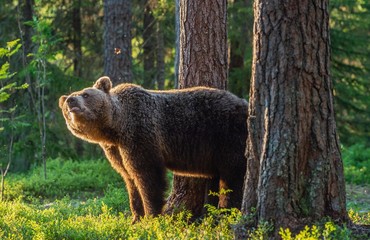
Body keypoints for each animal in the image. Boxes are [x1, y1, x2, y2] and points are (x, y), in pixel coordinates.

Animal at [59, 77, 247, 221]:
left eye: (85, 94)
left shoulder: (140, 133)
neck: (115, 128)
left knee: (232, 175)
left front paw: (151, 216)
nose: (70, 100)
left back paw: (227, 212)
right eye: (67, 101)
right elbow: (129, 178)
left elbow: (147, 175)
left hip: (227, 135)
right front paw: (136, 218)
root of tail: (244, 103)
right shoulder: (116, 149)